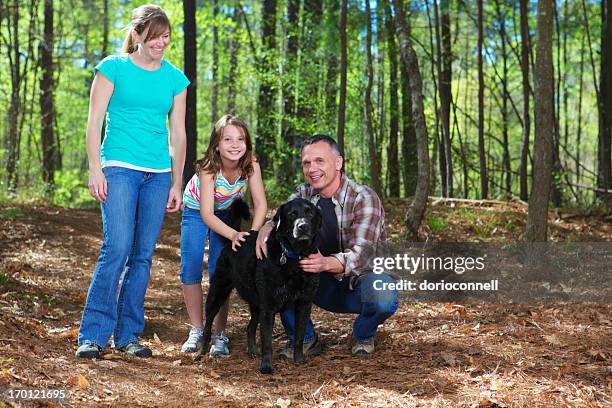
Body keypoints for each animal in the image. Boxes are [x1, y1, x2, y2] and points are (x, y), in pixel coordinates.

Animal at [196, 198, 322, 372]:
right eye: (292, 214)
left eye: (310, 213)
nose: (302, 226)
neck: (294, 258)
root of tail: (234, 238)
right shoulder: (268, 308)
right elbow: (267, 341)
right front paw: (266, 366)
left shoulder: (304, 304)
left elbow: (299, 337)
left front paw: (299, 360)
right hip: (217, 294)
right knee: (207, 327)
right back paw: (201, 353)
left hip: (256, 305)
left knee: (250, 327)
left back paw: (252, 351)